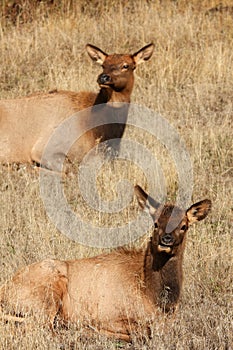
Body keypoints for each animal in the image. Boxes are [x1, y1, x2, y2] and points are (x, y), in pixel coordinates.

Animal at [0, 186, 211, 342]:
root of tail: (4, 291)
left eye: (184, 226)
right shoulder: (111, 315)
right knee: (39, 327)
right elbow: (142, 331)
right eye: (156, 223)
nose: (166, 239)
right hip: (47, 296)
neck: (154, 296)